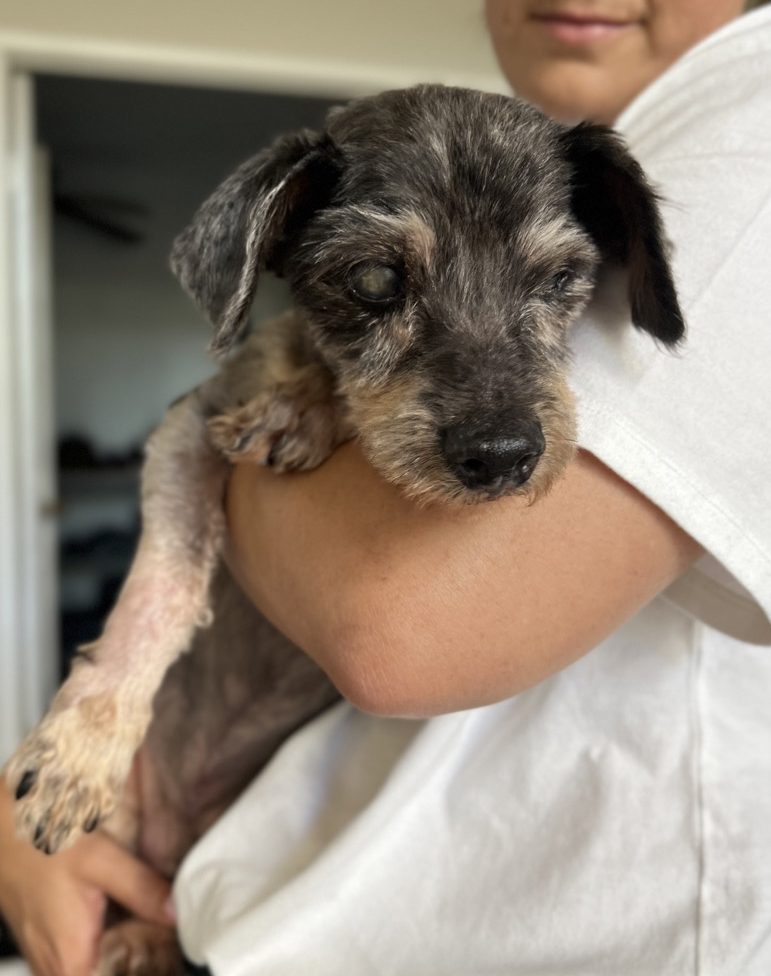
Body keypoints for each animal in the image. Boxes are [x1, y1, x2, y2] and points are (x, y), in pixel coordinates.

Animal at [4, 86, 680, 976]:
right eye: (373, 278)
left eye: (562, 277)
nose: (503, 457)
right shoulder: (188, 426)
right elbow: (162, 587)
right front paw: (78, 750)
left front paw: (306, 408)